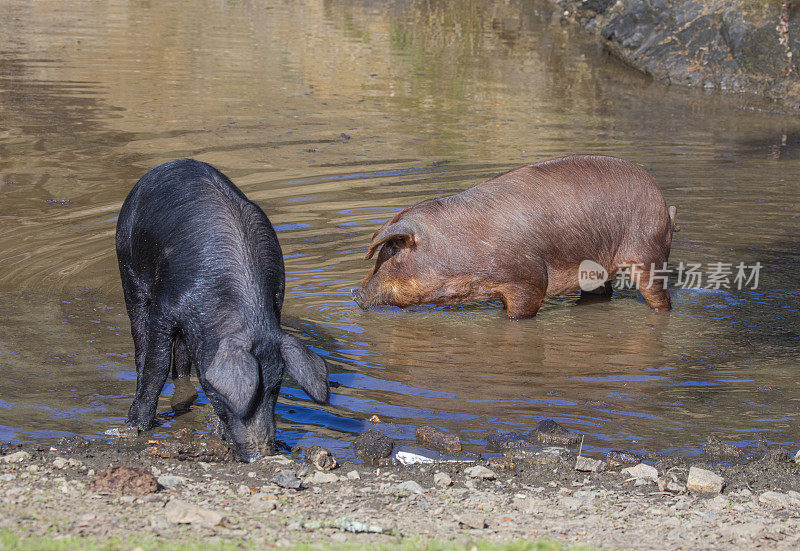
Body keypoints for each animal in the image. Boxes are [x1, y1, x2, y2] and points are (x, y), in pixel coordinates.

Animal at [115, 158, 328, 462]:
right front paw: (136, 427)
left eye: (275, 388)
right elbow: (156, 367)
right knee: (141, 346)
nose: (260, 454)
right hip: (128, 270)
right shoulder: (165, 309)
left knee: (182, 360)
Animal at [354, 154, 680, 320]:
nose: (355, 294)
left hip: (647, 251)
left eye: (390, 252)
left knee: (660, 297)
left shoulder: (529, 279)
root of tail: (663, 203)